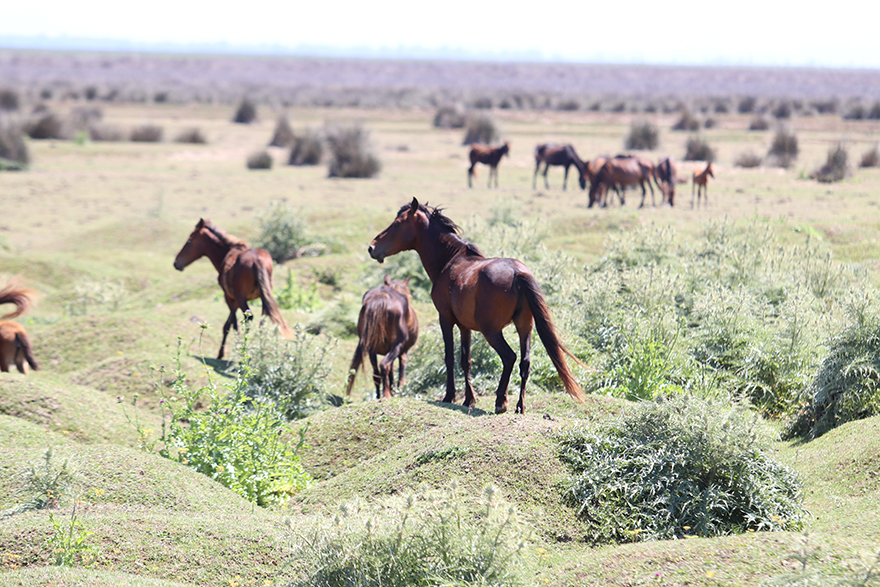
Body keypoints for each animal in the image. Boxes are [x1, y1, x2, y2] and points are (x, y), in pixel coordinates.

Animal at [173, 219, 292, 360]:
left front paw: (226, 352)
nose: (176, 263)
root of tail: (257, 260)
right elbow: (229, 324)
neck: (226, 253)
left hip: (241, 299)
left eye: (189, 241)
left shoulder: (229, 297)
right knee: (262, 321)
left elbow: (231, 325)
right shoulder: (234, 300)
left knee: (248, 320)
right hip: (263, 298)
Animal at [366, 200, 584, 416]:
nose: (371, 247)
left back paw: (500, 401)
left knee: (509, 357)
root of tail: (517, 273)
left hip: (492, 331)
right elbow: (466, 361)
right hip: (524, 328)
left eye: (397, 223)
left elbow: (450, 358)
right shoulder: (465, 326)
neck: (450, 261)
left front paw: (450, 396)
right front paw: (469, 399)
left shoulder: (445, 319)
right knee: (525, 362)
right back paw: (520, 406)